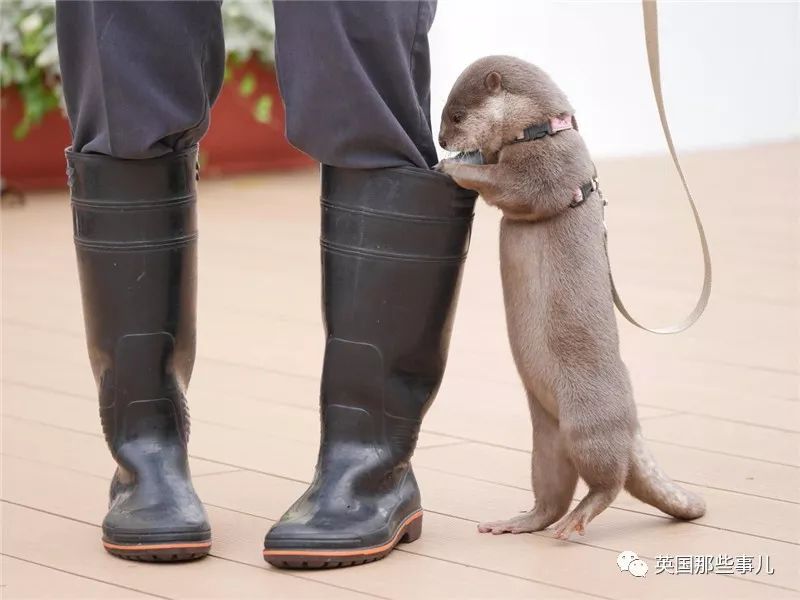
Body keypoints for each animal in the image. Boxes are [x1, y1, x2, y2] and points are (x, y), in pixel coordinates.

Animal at [434, 56, 704, 540]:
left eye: (457, 115)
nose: (443, 140)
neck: (542, 130)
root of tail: (634, 421)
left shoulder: (547, 170)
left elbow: (510, 186)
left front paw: (452, 167)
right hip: (546, 443)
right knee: (551, 495)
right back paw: (517, 522)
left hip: (588, 422)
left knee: (609, 481)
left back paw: (579, 517)